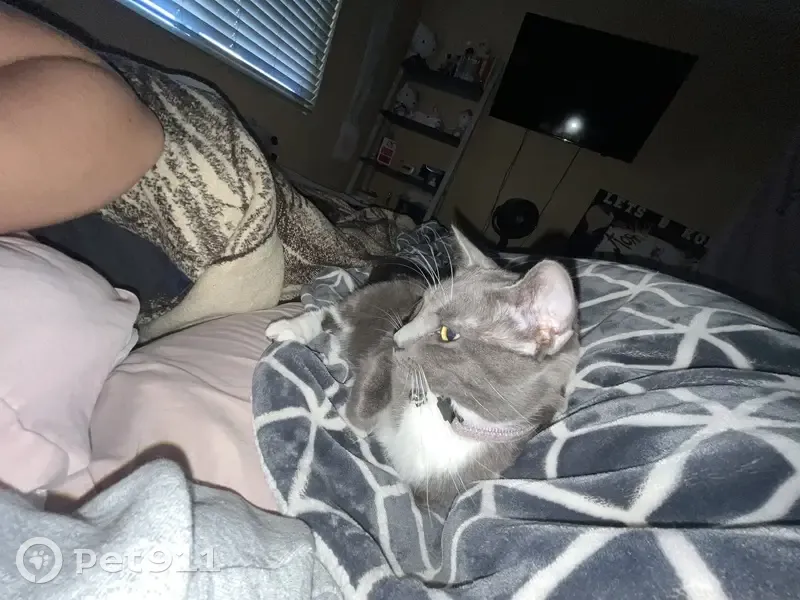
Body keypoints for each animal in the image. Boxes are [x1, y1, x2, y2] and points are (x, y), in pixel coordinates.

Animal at [266, 227, 580, 509]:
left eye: (448, 333)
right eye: (419, 305)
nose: (398, 338)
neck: (452, 416)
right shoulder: (386, 356)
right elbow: (372, 383)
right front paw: (355, 424)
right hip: (372, 297)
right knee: (333, 313)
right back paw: (288, 328)